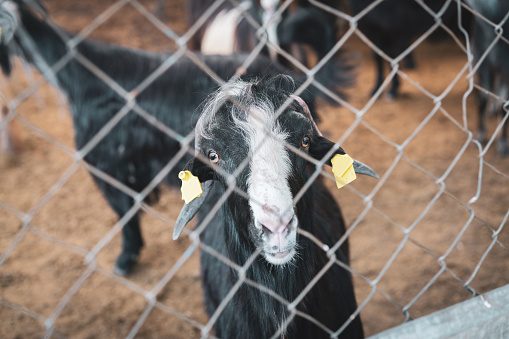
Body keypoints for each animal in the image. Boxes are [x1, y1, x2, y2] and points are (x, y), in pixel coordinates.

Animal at [466, 0, 506, 156]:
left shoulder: (505, 66)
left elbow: (503, 103)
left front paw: (502, 144)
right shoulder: (480, 59)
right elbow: (482, 98)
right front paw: (480, 134)